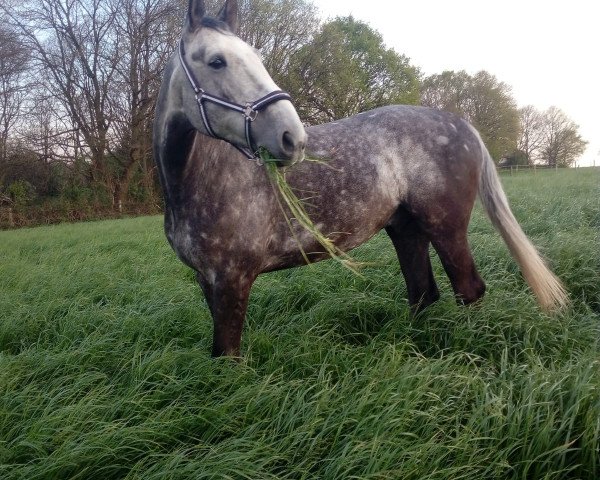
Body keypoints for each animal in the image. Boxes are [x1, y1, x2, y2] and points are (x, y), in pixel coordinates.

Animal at [155, 0, 568, 356]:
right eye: (216, 61)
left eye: (257, 58)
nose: (292, 137)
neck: (199, 180)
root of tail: (461, 123)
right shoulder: (208, 281)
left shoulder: (233, 280)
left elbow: (227, 356)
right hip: (406, 229)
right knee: (423, 292)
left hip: (446, 228)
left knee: (468, 290)